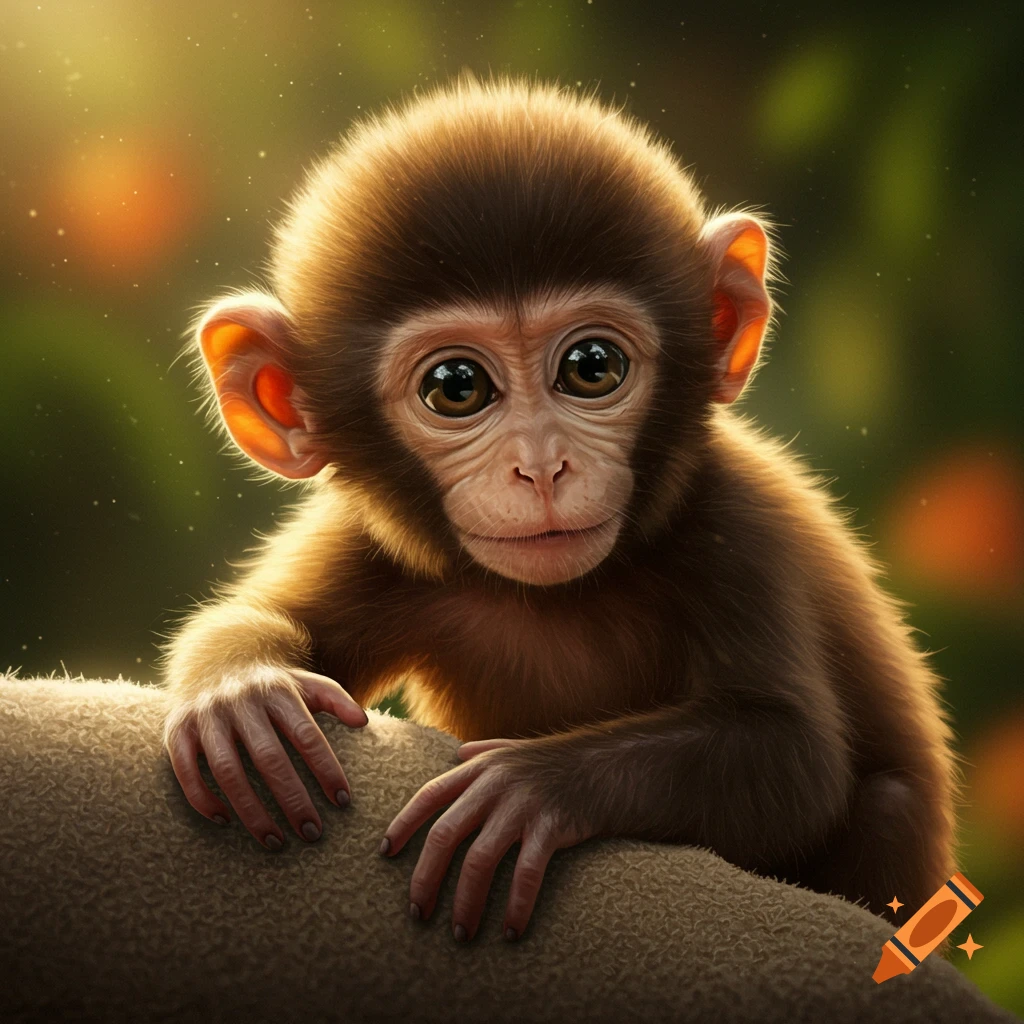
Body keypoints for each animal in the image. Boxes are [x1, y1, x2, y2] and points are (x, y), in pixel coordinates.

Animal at [160, 74, 957, 945]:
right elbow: (281, 622)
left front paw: (532, 785)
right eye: (456, 387)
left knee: (884, 801)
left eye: (591, 367)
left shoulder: (739, 528)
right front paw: (244, 694)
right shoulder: (372, 539)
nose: (541, 467)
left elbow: (794, 756)